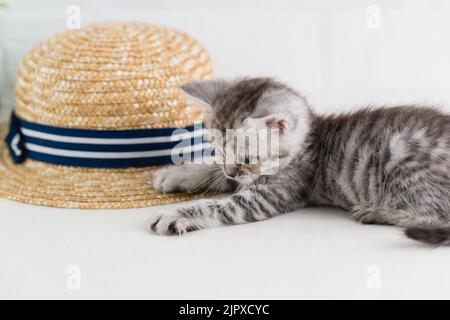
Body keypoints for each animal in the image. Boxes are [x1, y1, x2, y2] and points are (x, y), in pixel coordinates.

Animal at [149, 77, 450, 245]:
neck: (308, 142)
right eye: (219, 151)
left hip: (402, 159)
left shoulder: (268, 195)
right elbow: (214, 173)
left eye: (247, 157)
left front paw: (176, 214)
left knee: (435, 215)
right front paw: (178, 174)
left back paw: (374, 212)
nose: (232, 173)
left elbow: (215, 206)